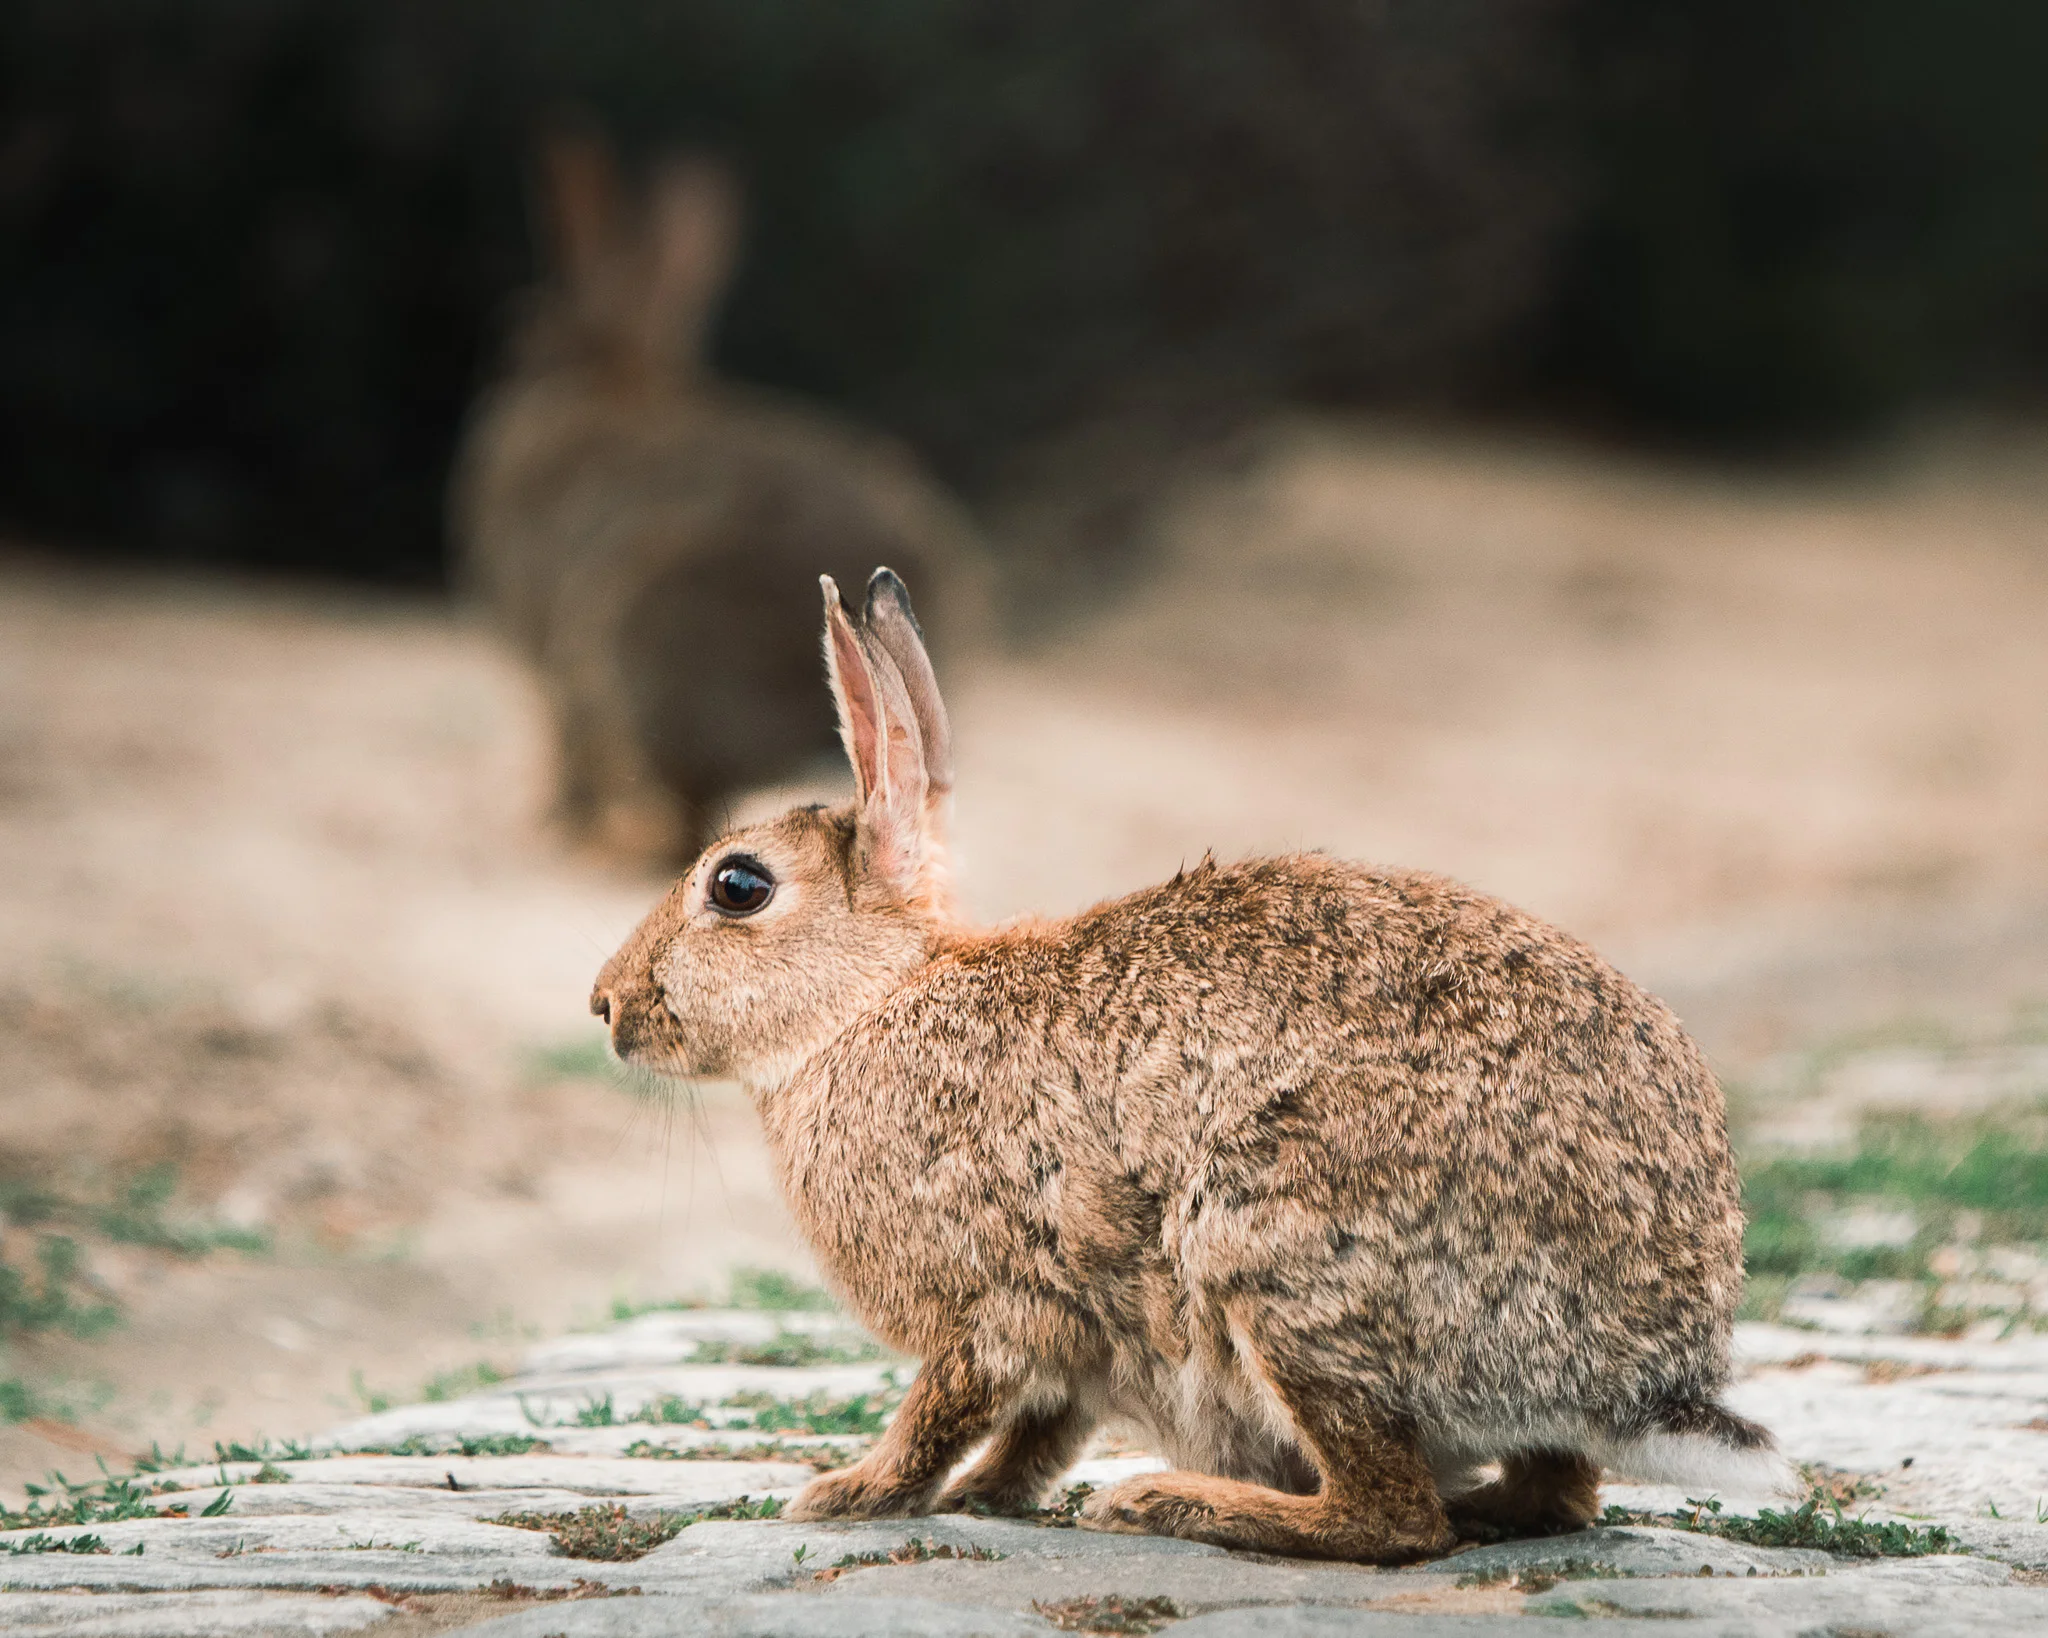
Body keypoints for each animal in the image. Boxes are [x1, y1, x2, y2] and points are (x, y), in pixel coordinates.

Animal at [449, 129, 985, 863]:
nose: (494, 376)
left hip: (640, 644)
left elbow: (566, 743)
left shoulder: (554, 660)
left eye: (513, 335)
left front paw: (558, 822)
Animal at [590, 568, 1789, 1563]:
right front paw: (984, 1498)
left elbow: (944, 1410)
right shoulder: (1068, 1336)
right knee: (1555, 1494)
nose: (605, 1003)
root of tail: (1643, 1368)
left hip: (1275, 1252)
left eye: (737, 886)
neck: (867, 1004)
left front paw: (849, 1493)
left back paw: (1171, 1504)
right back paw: (1476, 1502)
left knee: (1395, 1520)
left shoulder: (986, 1301)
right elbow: (1040, 1427)